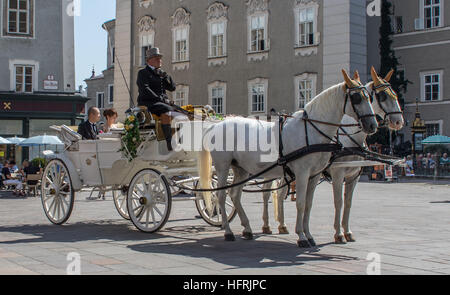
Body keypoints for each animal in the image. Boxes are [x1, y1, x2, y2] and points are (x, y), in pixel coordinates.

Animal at [199, 69, 378, 247]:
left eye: (370, 97)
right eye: (357, 98)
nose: (373, 125)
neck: (311, 131)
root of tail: (217, 124)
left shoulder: (314, 175)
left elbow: (308, 204)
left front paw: (309, 235)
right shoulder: (303, 173)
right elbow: (300, 203)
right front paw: (302, 236)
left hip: (240, 168)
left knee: (235, 194)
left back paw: (247, 228)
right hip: (223, 166)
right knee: (221, 196)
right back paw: (228, 231)